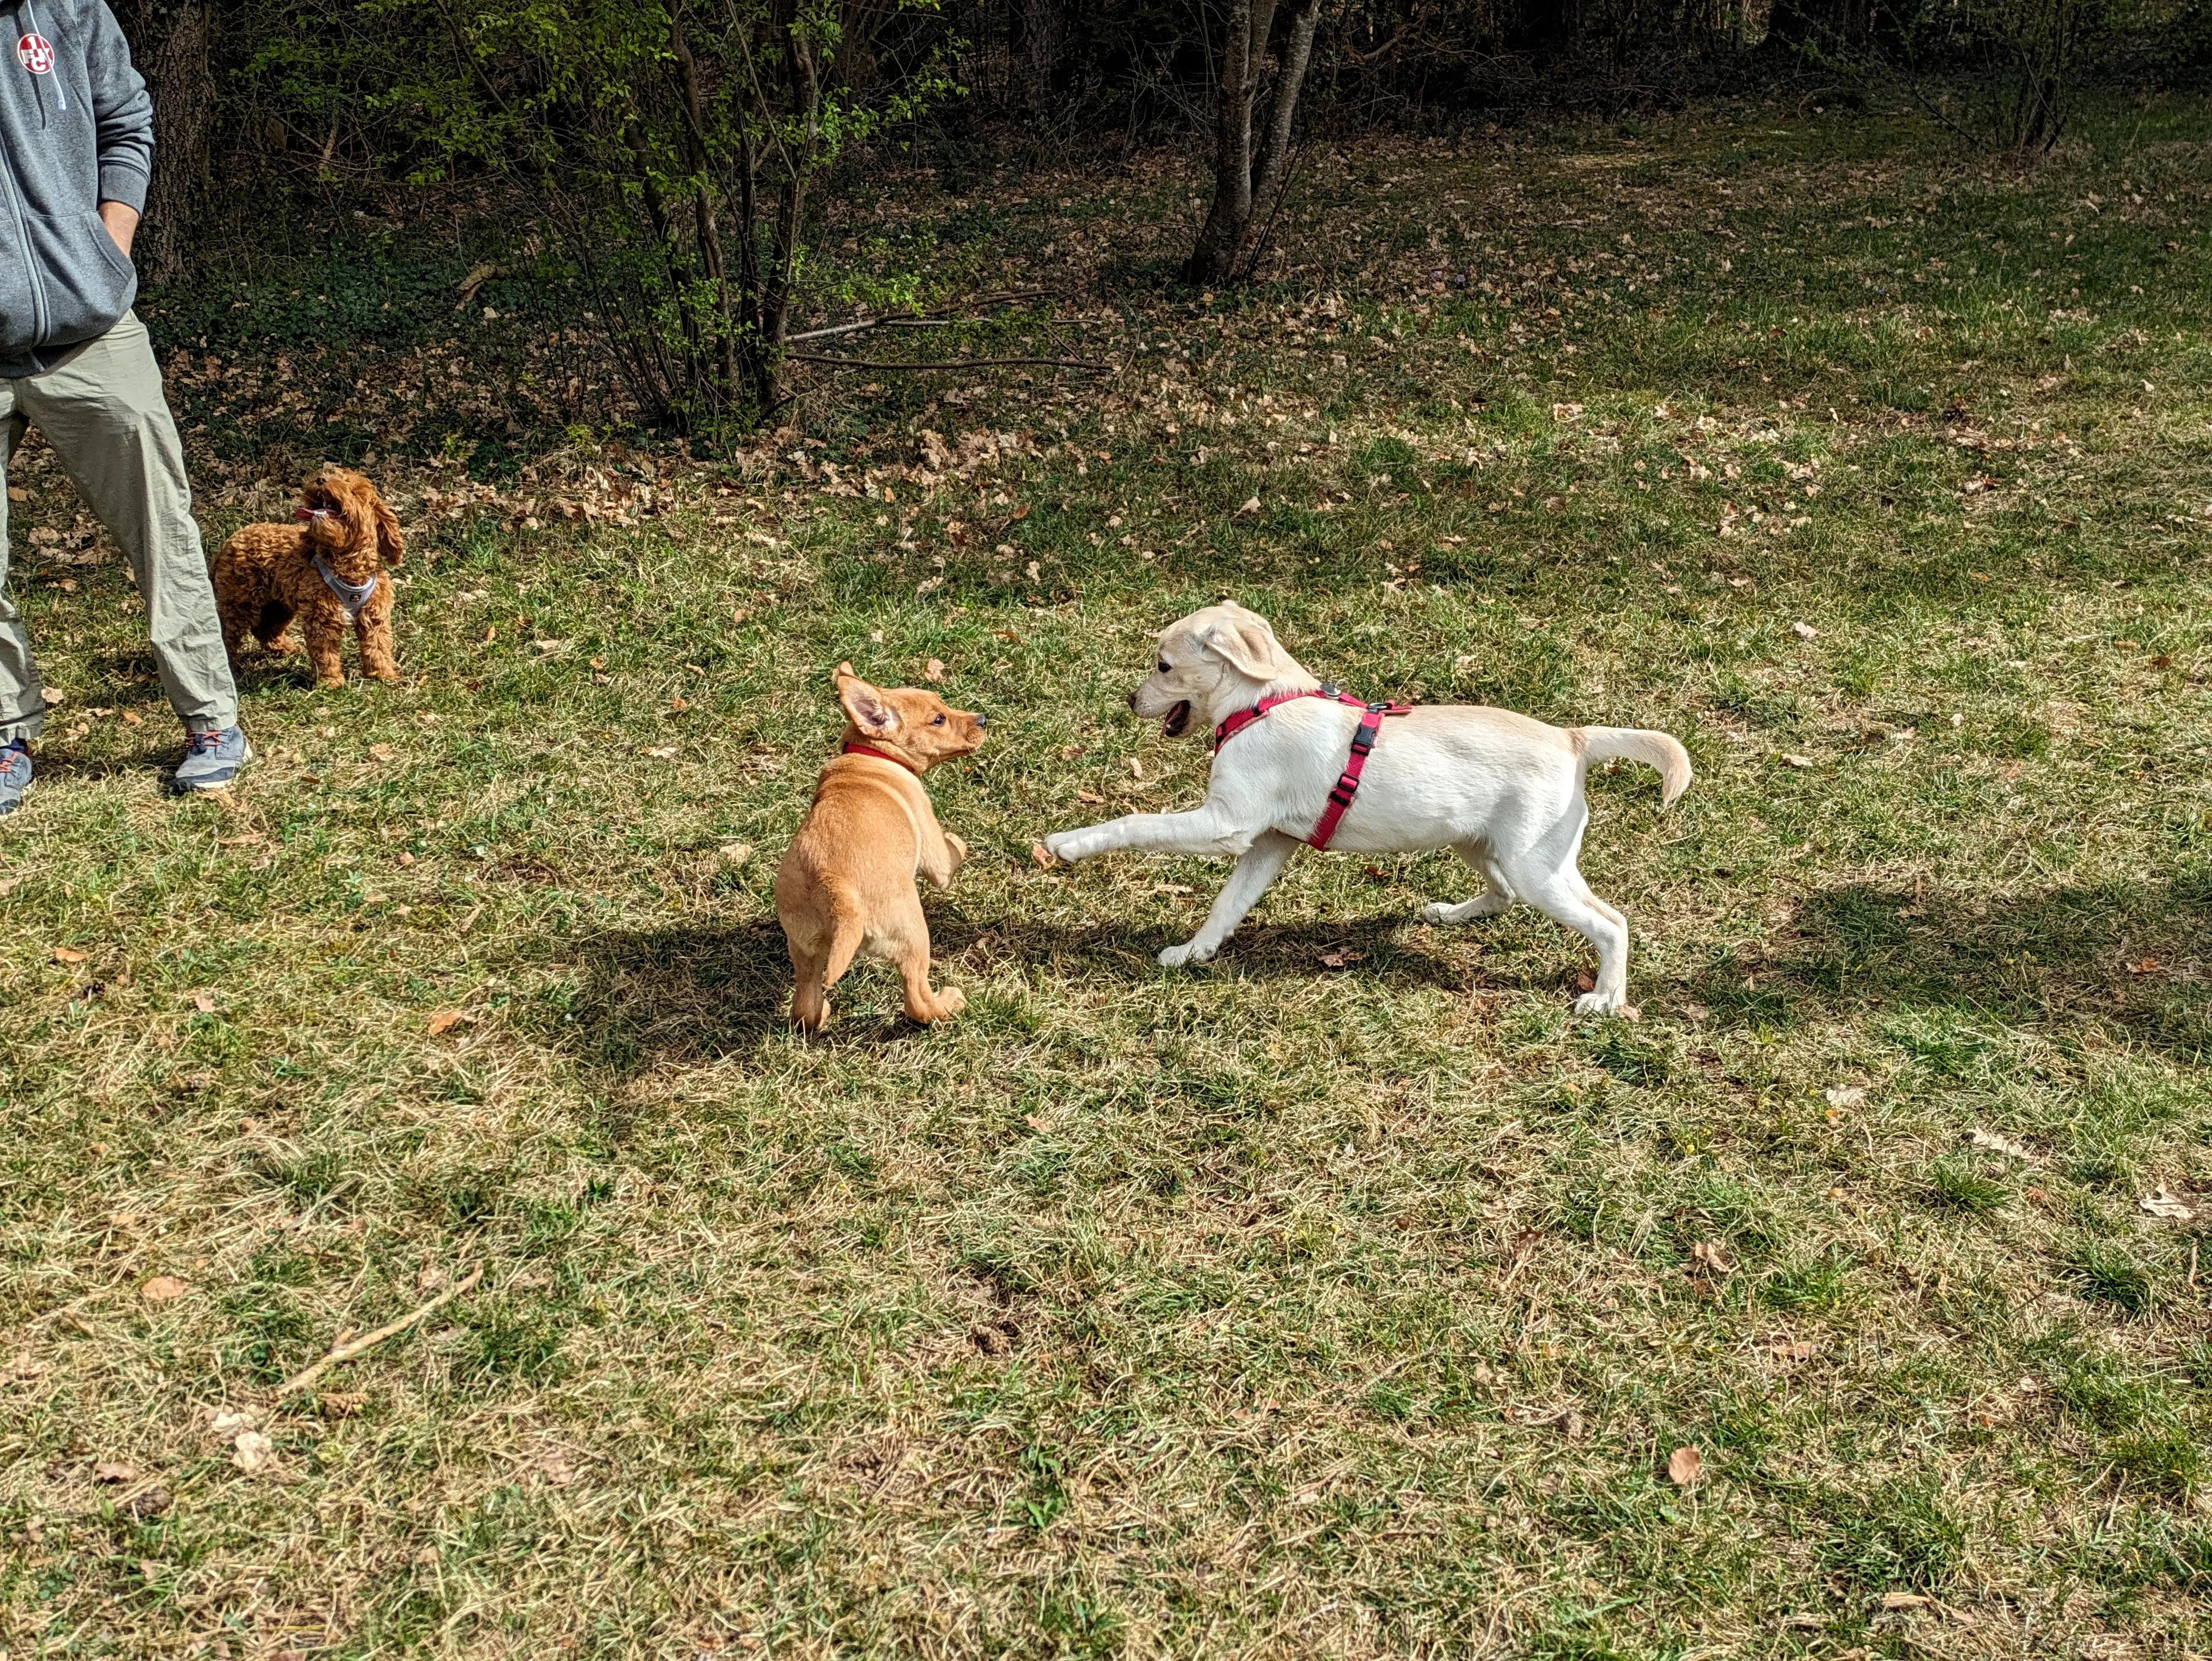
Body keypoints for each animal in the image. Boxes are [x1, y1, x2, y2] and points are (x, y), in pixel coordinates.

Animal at [778, 659, 986, 1026]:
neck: (870, 757)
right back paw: (949, 1003)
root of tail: (835, 886)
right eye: (939, 719)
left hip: (804, 948)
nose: (983, 720)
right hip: (913, 933)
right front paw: (957, 839)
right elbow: (952, 852)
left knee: (806, 1004)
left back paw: (822, 1013)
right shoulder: (935, 855)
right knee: (918, 999)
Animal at [1040, 601, 1690, 1013]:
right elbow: (1227, 906)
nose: (1129, 700)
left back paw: (1606, 997)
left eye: (1164, 666)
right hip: (1480, 844)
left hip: (1538, 867)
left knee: (1610, 923)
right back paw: (1451, 914)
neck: (1263, 702)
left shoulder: (1227, 825)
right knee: (1502, 894)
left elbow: (1135, 822)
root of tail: (1573, 738)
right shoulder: (1269, 843)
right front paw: (1192, 954)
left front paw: (1069, 843)